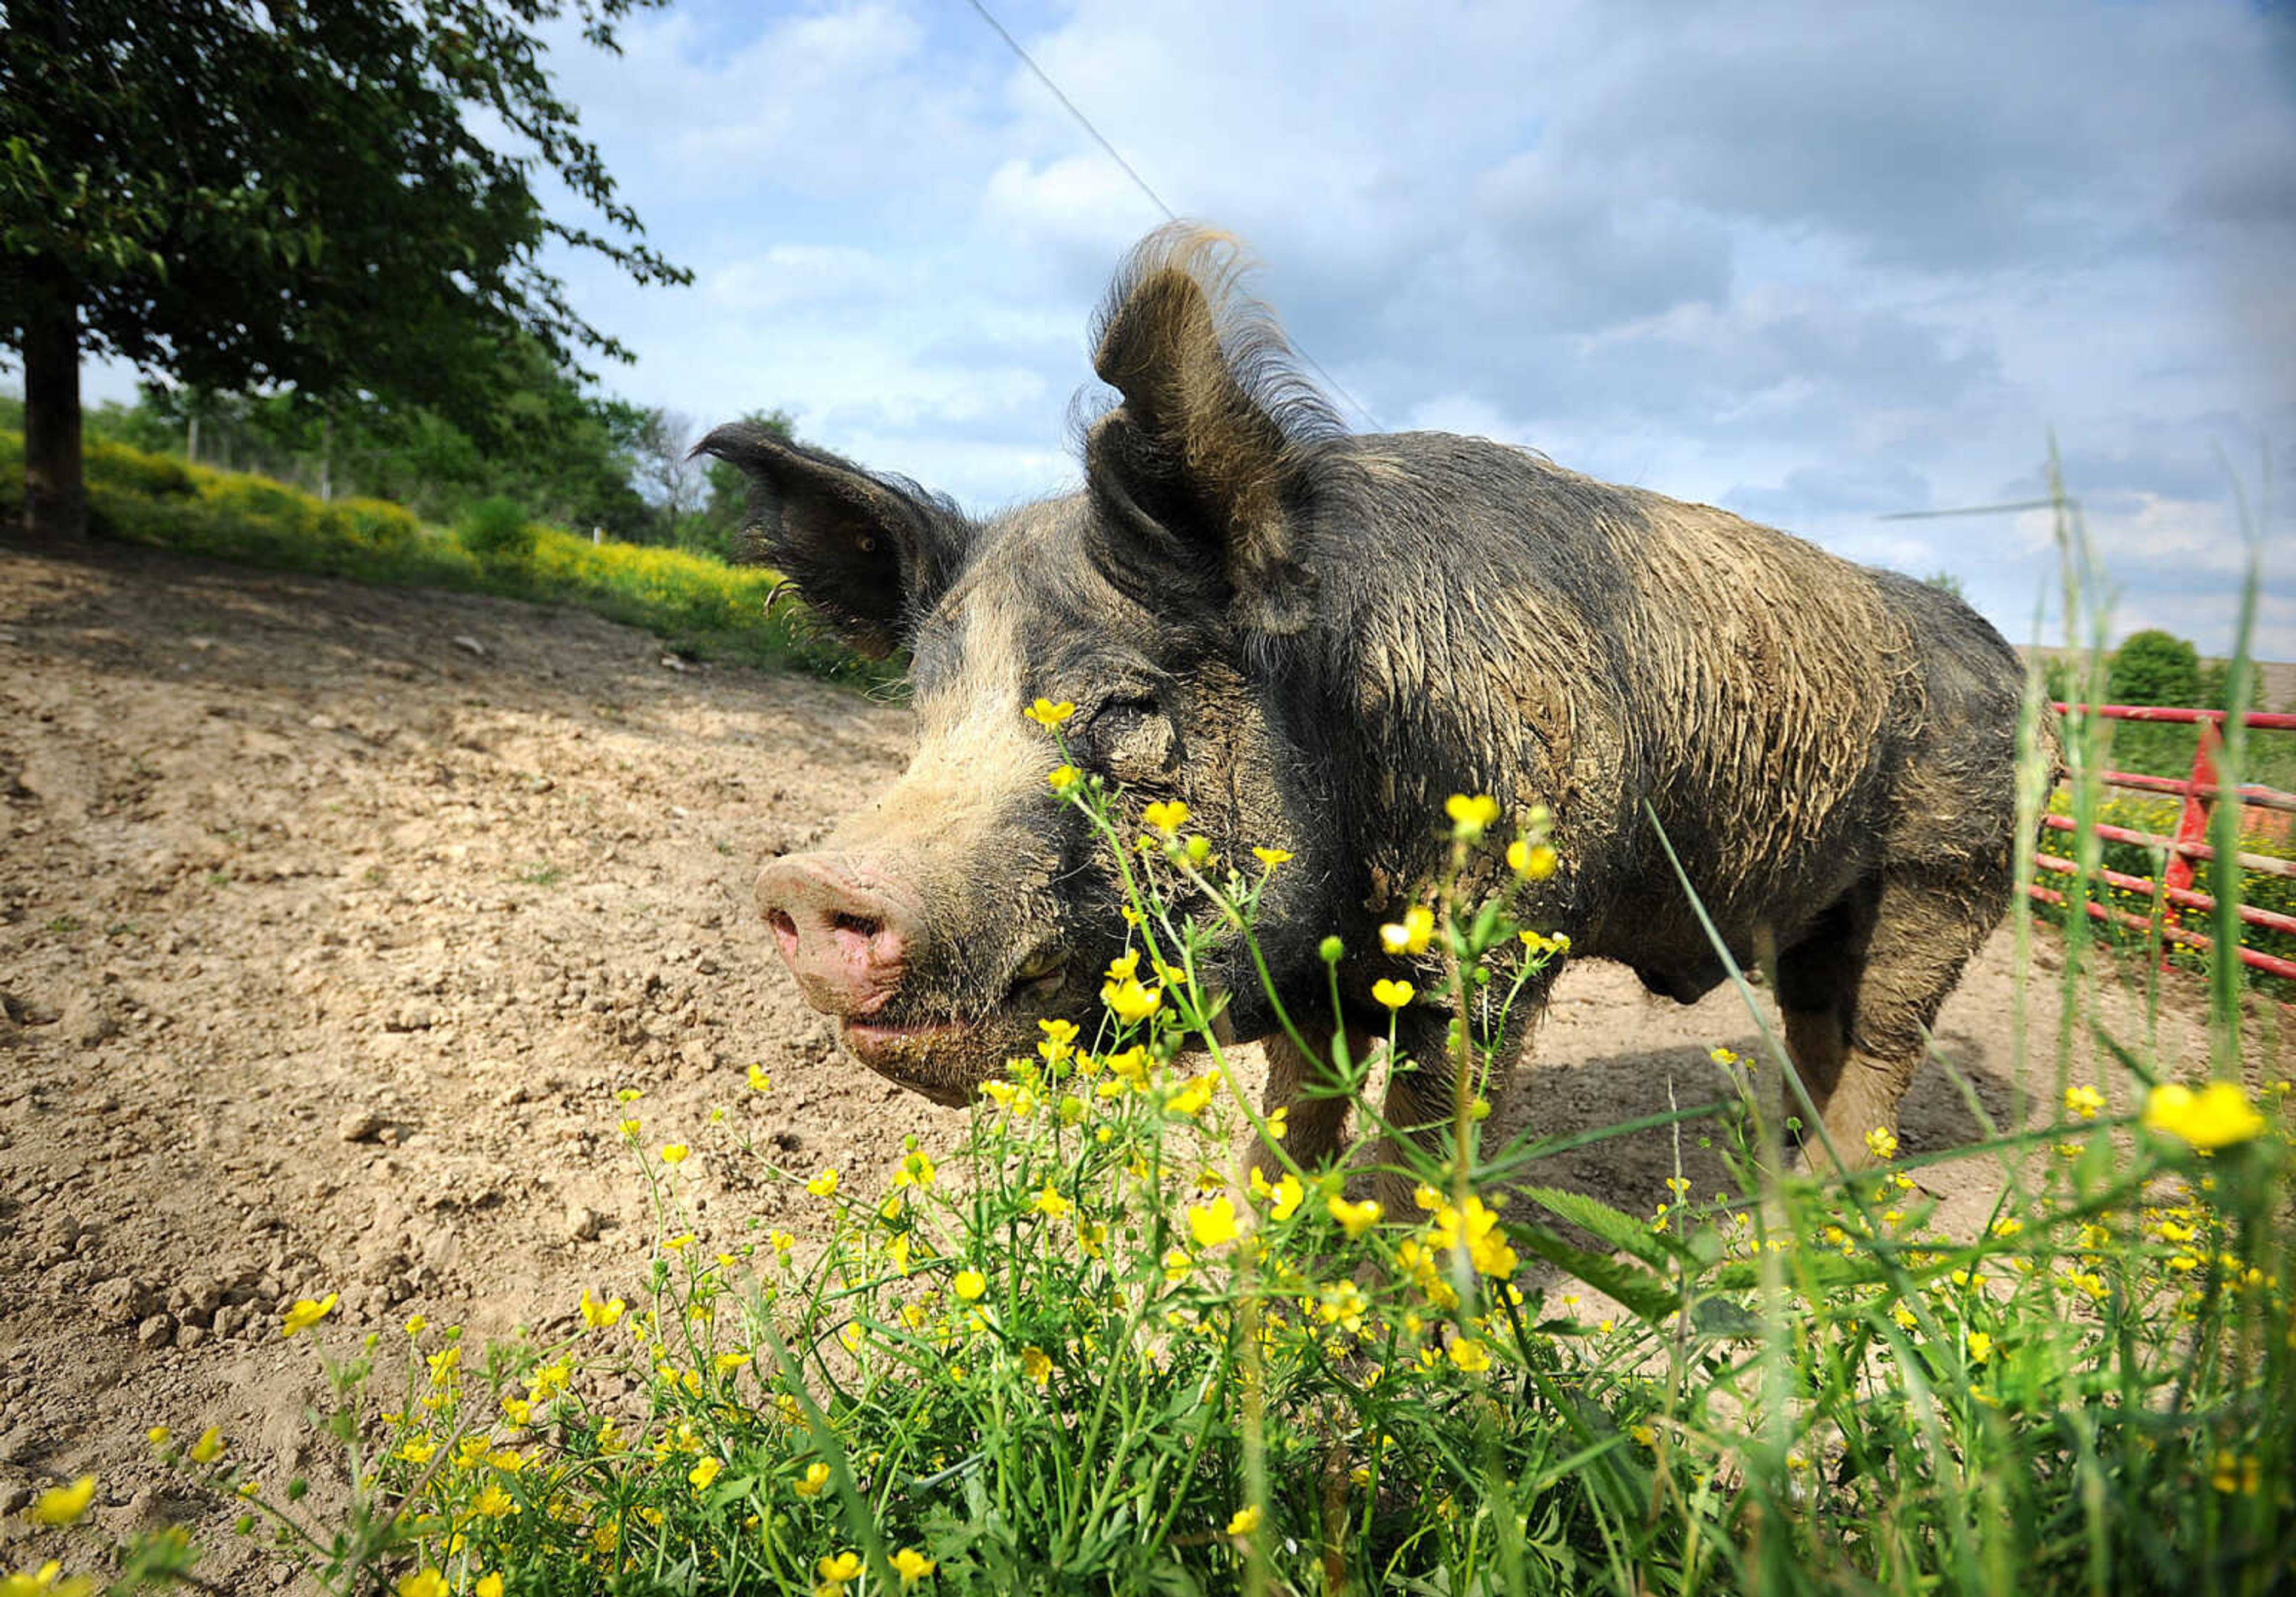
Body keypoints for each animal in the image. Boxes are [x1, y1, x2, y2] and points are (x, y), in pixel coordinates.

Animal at [698, 227, 2029, 1193]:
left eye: (1125, 702)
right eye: (926, 713)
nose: (811, 881)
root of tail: (2010, 657)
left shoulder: (1502, 938)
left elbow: (1424, 1135)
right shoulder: (1320, 972)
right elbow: (1295, 1116)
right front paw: (1256, 1248)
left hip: (1946, 870)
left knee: (1885, 1038)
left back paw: (1817, 1204)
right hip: (1833, 896)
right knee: (1818, 1023)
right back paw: (1776, 1173)